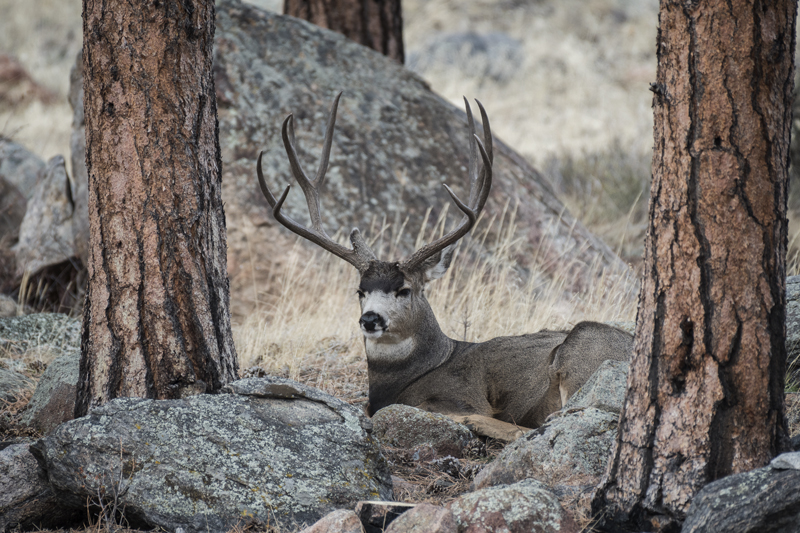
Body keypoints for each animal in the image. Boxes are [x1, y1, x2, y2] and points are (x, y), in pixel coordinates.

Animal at [256, 93, 632, 441]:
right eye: (360, 291)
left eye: (404, 289)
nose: (370, 319)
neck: (418, 370)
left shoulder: (462, 395)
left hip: (583, 344)